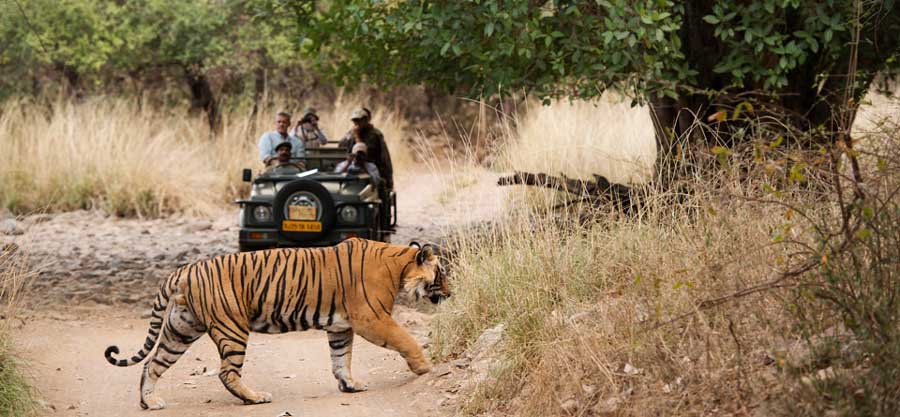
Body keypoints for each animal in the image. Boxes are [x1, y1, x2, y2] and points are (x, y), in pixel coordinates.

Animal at [103, 237, 450, 410]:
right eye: (442, 274)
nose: (450, 292)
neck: (399, 265)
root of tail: (183, 270)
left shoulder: (341, 327)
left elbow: (341, 359)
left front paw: (350, 385)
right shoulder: (371, 318)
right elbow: (405, 339)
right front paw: (425, 367)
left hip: (180, 330)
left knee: (152, 364)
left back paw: (150, 402)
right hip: (232, 328)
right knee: (227, 372)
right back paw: (254, 398)